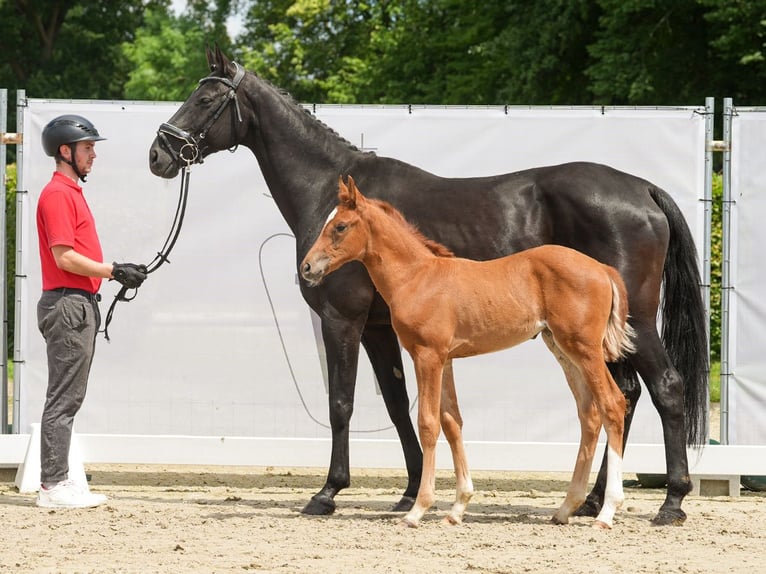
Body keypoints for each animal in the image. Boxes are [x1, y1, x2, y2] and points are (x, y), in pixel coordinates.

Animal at [148, 47, 708, 528]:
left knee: (663, 389)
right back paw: (591, 501)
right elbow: (400, 406)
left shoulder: (342, 320)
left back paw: (671, 501)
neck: (327, 188)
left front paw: (328, 492)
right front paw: (409, 492)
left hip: (633, 322)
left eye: (205, 99)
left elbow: (341, 402)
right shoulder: (380, 330)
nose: (159, 154)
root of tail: (643, 189)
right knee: (625, 396)